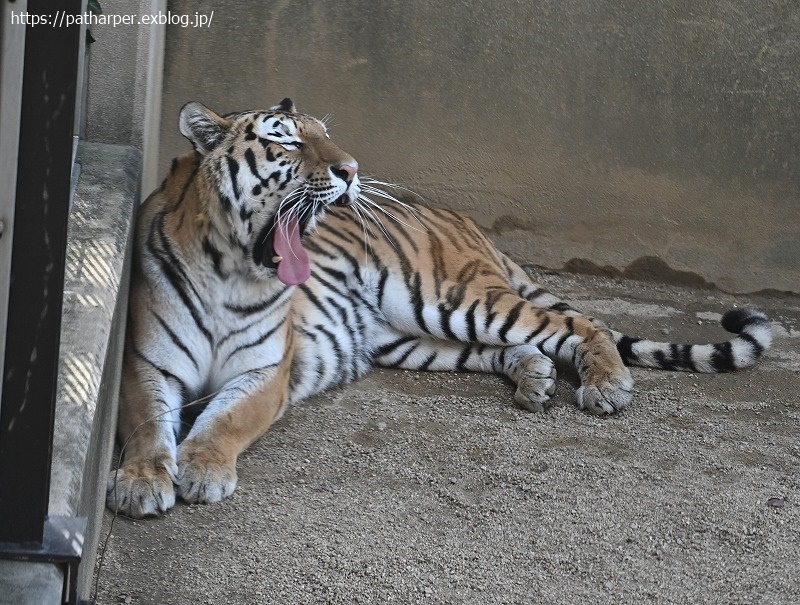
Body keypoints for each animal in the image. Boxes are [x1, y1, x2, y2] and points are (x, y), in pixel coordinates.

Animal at [108, 98, 776, 516]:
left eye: (325, 133)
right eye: (286, 139)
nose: (352, 169)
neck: (230, 267)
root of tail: (458, 217)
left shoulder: (264, 372)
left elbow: (225, 421)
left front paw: (203, 470)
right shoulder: (145, 364)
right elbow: (145, 425)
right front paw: (141, 482)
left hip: (444, 296)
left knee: (577, 321)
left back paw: (606, 387)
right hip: (408, 335)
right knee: (513, 346)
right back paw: (534, 380)